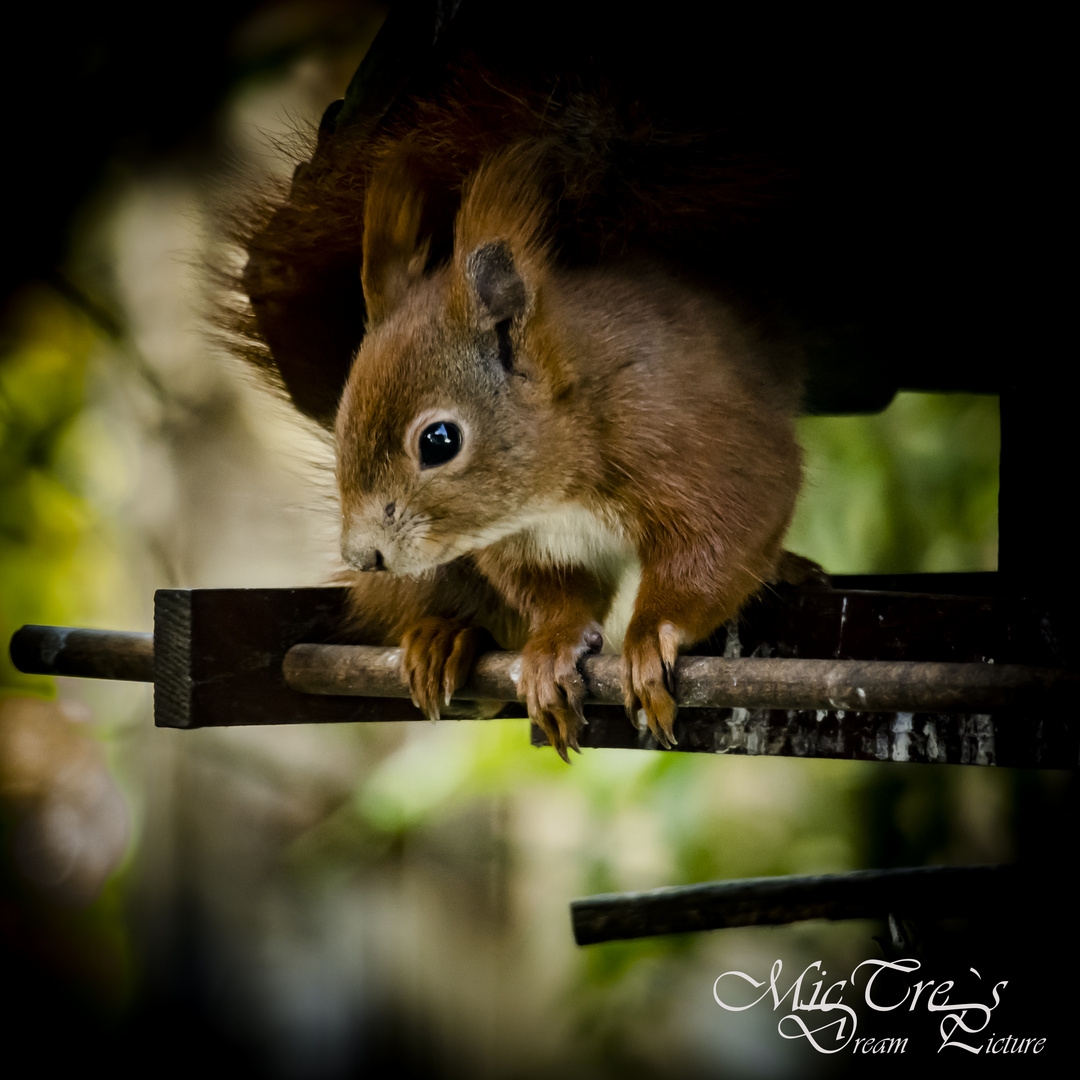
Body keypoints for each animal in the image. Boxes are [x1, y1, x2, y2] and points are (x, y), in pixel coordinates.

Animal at [334, 141, 812, 760]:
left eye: (439, 441)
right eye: (339, 418)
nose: (362, 556)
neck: (554, 497)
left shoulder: (708, 449)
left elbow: (720, 546)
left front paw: (649, 638)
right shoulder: (534, 549)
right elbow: (558, 599)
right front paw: (552, 649)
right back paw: (444, 638)